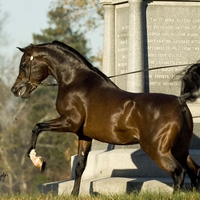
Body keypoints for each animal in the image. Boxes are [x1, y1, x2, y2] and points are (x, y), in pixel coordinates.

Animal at [11, 40, 200, 195]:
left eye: (23, 64)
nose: (15, 90)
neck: (75, 81)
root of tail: (180, 101)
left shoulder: (69, 123)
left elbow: (37, 127)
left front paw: (38, 161)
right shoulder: (84, 135)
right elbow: (80, 167)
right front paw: (74, 194)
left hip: (157, 149)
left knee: (178, 172)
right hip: (180, 149)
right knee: (194, 171)